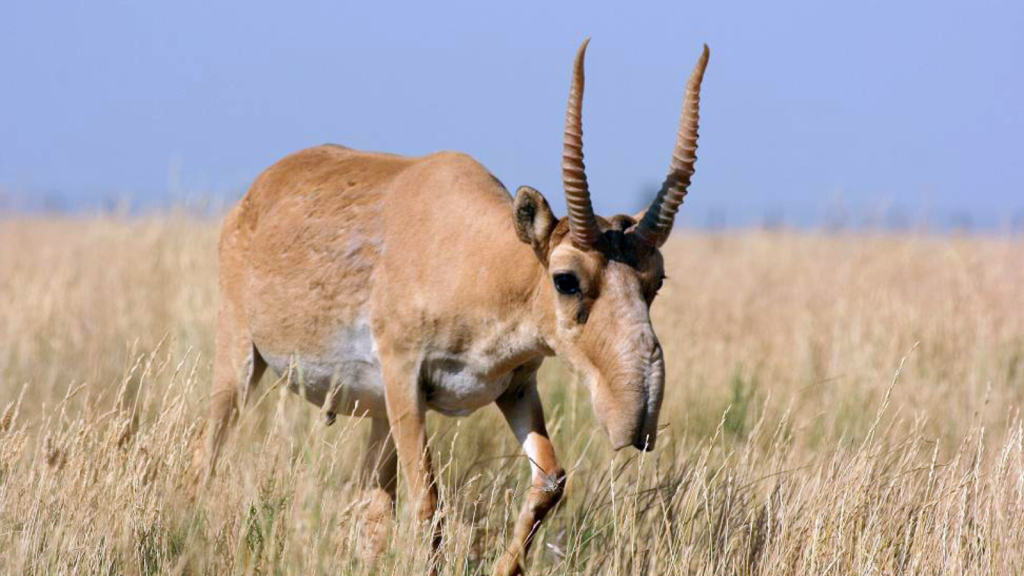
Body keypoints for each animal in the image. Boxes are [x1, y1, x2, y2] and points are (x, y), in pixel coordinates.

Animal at [201, 38, 712, 569]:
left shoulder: (515, 388)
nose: (637, 418)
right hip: (241, 360)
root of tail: (258, 191)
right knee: (208, 450)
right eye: (566, 279)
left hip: (377, 414)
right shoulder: (405, 381)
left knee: (370, 507)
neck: (479, 258)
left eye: (656, 279)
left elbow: (550, 481)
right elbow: (428, 501)